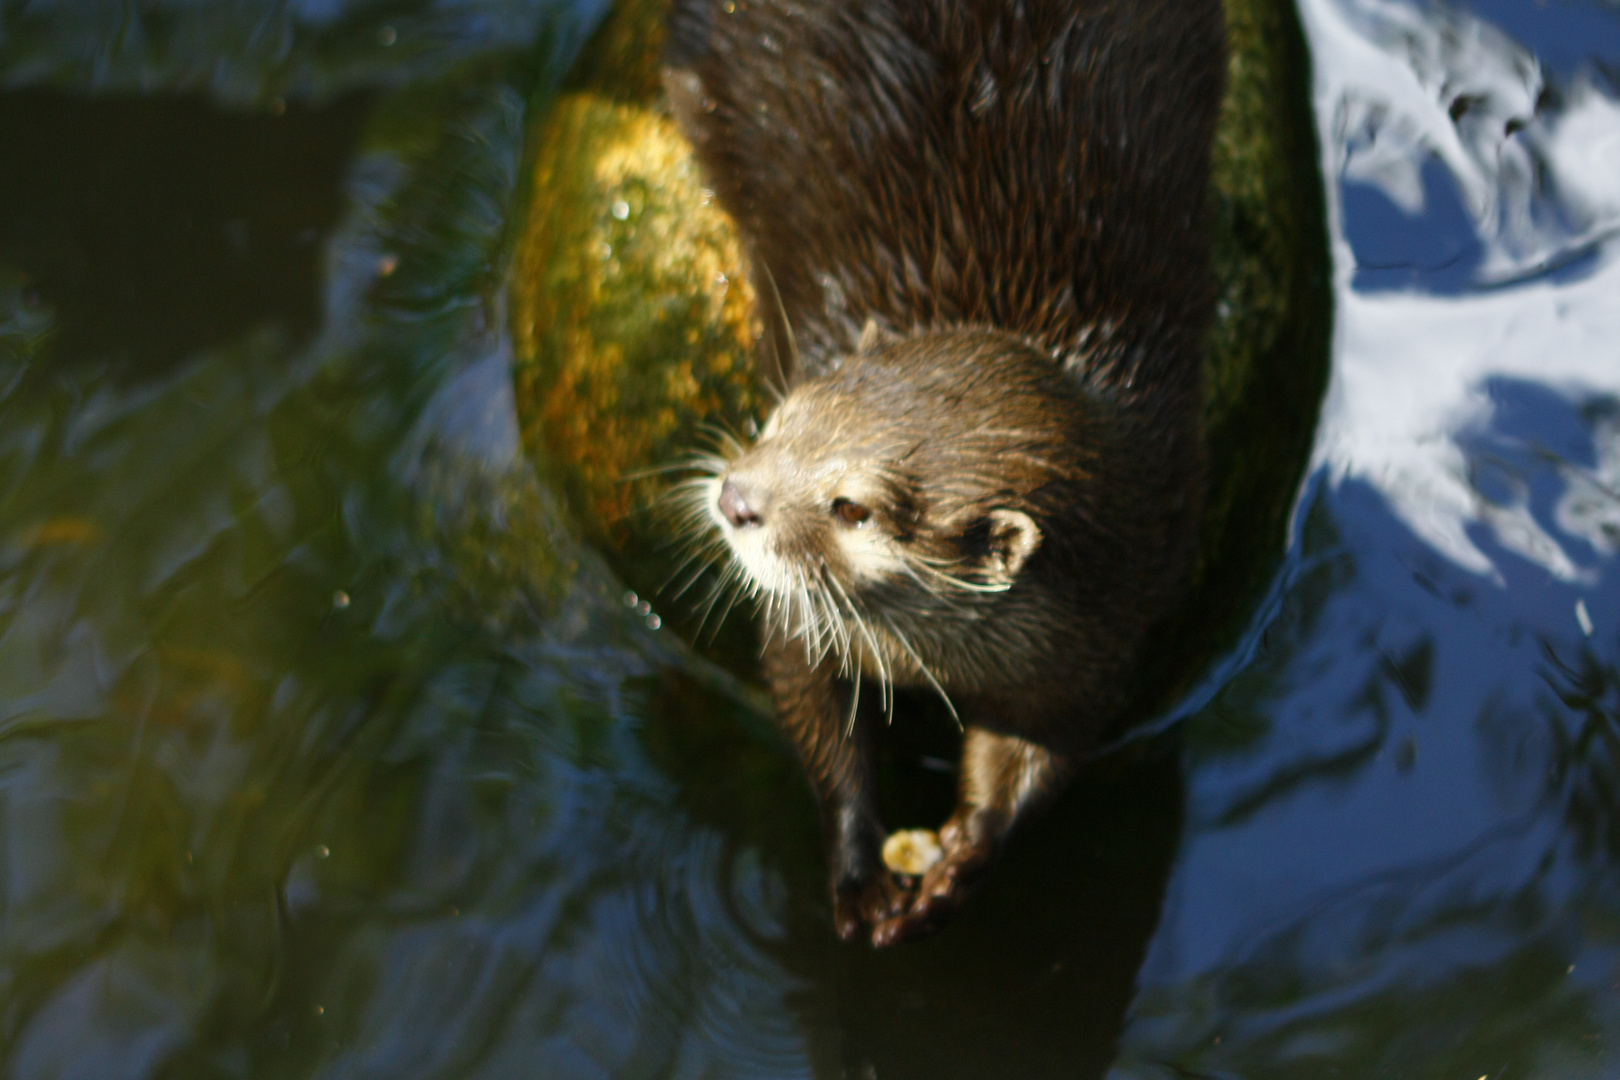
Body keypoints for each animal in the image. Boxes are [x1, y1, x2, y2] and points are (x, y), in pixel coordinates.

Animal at [664, 0, 1218, 945]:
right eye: (780, 416)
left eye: (852, 506)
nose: (737, 498)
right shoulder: (801, 625)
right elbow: (805, 697)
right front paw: (859, 871)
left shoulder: (1107, 633)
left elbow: (1037, 759)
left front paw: (962, 860)